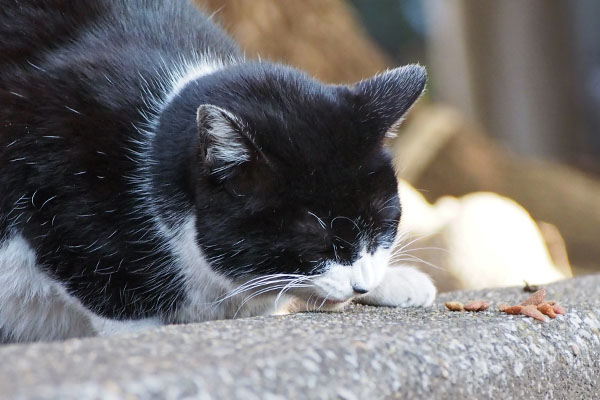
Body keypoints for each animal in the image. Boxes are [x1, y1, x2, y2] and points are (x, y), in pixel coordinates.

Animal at [0, 0, 434, 344]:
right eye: (316, 240)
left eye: (382, 225)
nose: (362, 284)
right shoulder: (55, 165)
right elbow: (105, 289)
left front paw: (397, 280)